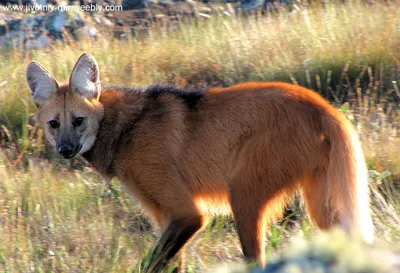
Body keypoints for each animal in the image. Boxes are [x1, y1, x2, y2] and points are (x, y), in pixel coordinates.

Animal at [26, 52, 374, 270]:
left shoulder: (186, 214)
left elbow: (151, 263)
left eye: (79, 120)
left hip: (243, 194)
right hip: (319, 202)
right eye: (54, 124)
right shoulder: (166, 216)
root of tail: (323, 106)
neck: (126, 128)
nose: (66, 149)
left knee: (256, 258)